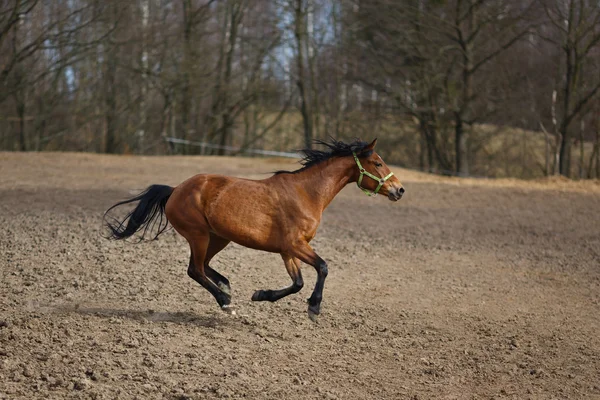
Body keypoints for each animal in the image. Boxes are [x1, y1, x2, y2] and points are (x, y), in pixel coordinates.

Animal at [104, 139, 404, 320]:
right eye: (377, 162)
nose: (400, 190)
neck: (306, 193)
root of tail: (176, 189)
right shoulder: (295, 245)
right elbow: (323, 267)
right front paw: (314, 307)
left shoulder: (287, 250)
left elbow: (297, 283)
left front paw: (261, 295)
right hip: (199, 235)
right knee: (195, 269)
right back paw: (225, 300)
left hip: (218, 237)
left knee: (204, 266)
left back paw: (225, 285)